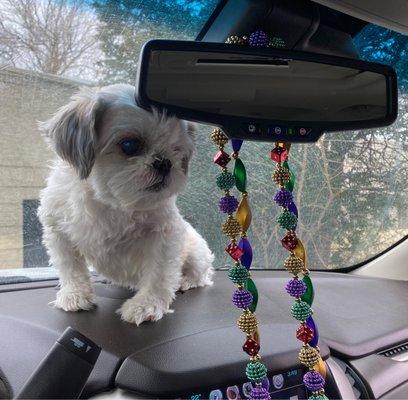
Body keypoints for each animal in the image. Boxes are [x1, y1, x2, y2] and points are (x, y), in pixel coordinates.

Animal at [37, 83, 215, 324]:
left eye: (177, 150)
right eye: (130, 145)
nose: (165, 162)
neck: (112, 201)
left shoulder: (165, 236)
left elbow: (159, 273)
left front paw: (147, 304)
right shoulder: (58, 231)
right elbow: (70, 268)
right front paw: (75, 295)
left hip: (196, 253)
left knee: (201, 275)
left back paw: (185, 281)